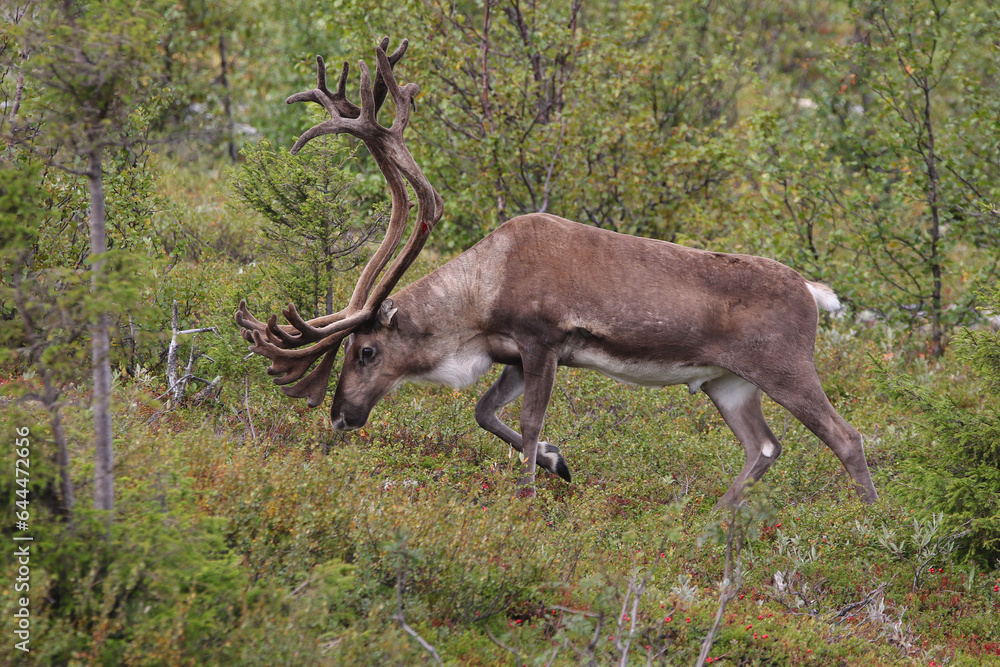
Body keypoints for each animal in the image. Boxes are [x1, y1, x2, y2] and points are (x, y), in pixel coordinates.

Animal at [235, 38, 879, 507]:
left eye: (366, 351)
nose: (341, 415)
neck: (484, 292)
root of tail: (814, 293)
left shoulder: (542, 340)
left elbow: (525, 418)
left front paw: (526, 494)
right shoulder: (514, 355)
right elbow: (485, 412)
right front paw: (556, 461)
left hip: (785, 368)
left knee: (846, 437)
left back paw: (870, 526)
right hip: (728, 383)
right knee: (765, 448)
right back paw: (713, 520)